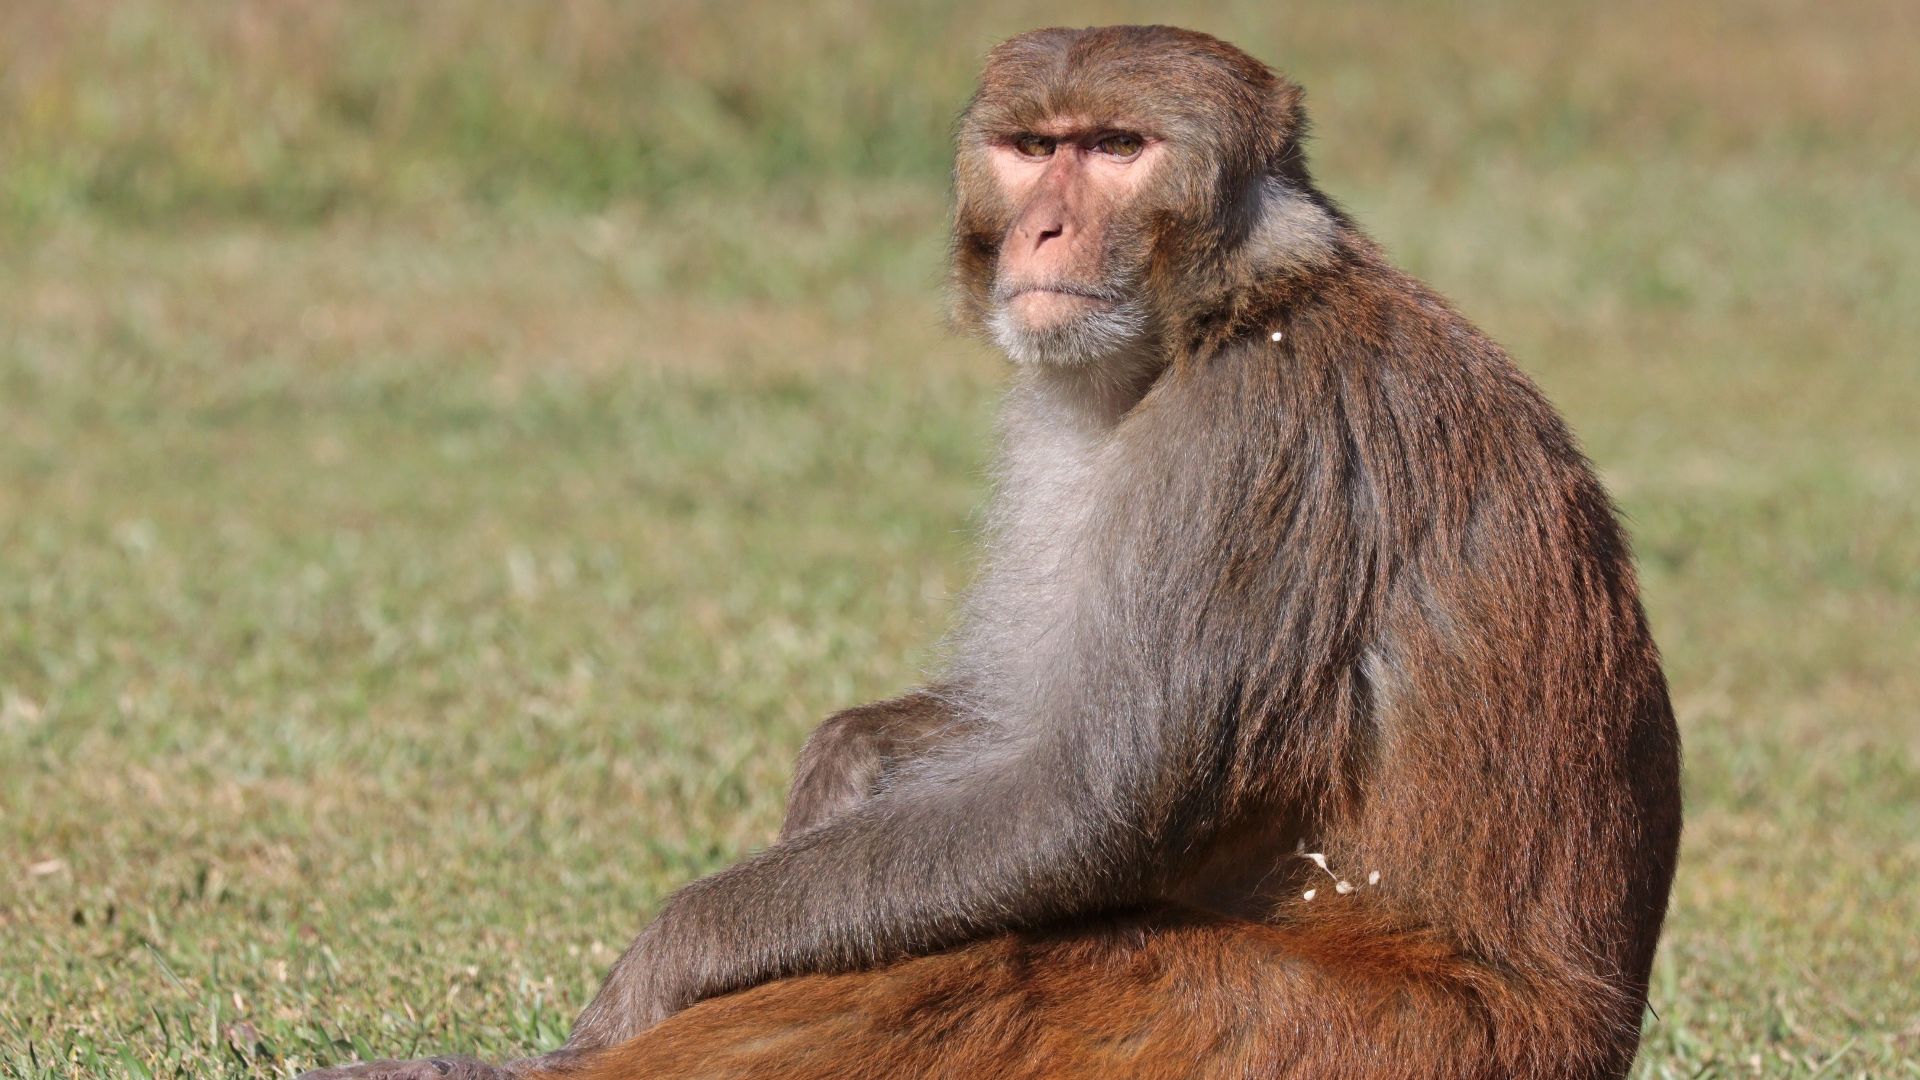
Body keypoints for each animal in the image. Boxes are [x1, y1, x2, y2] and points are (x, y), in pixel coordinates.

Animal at [301, 24, 1681, 1080]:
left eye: (1117, 150)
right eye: (1033, 150)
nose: (1048, 235)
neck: (1214, 320)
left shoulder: (1256, 439)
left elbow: (1080, 802)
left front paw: (654, 973)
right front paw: (848, 760)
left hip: (1333, 1034)